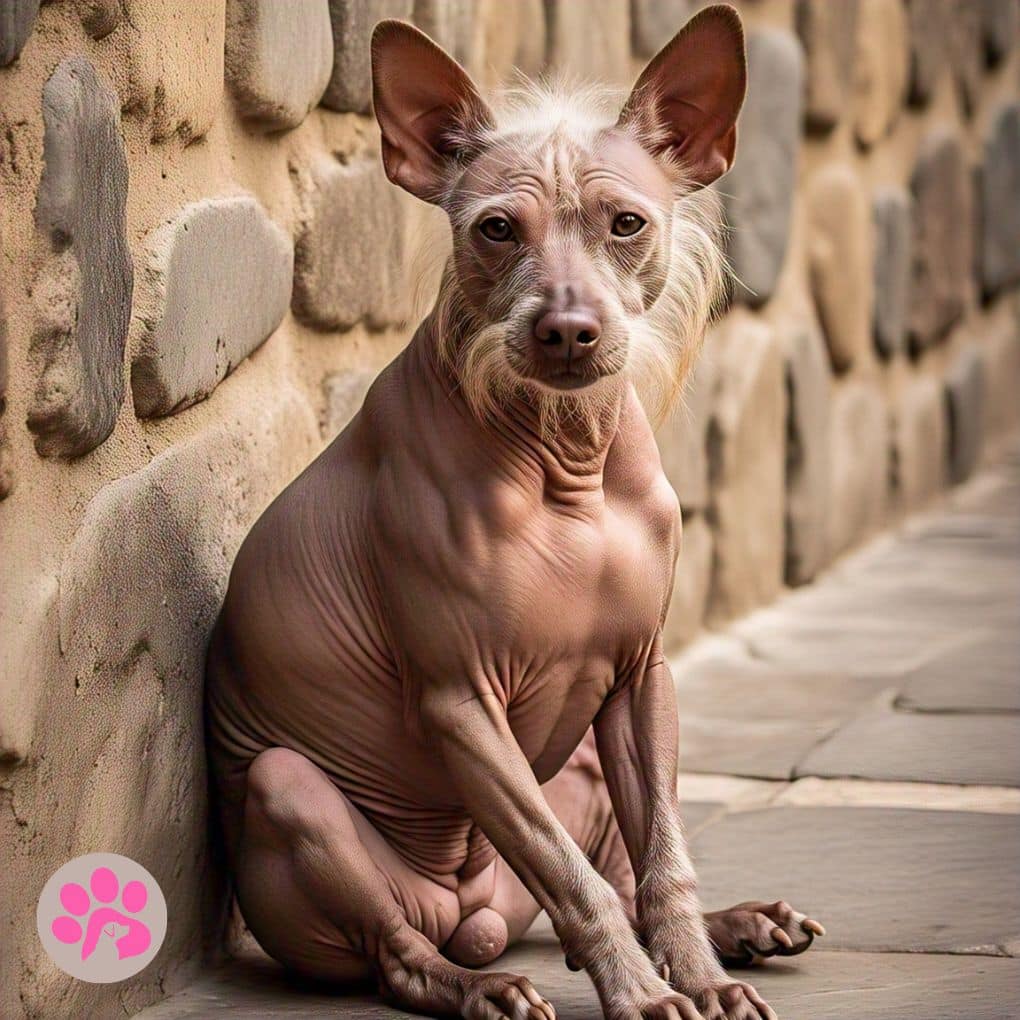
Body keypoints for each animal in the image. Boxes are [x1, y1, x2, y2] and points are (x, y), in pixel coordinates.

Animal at [202, 5, 824, 1011]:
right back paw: (478, 987)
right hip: (293, 792)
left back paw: (737, 929)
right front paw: (644, 995)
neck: (567, 465)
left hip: (582, 758)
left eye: (626, 223)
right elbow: (569, 876)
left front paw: (697, 976)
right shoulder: (461, 704)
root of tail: (475, 912)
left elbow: (665, 862)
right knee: (405, 953)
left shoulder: (644, 678)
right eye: (497, 229)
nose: (567, 329)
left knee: (628, 874)